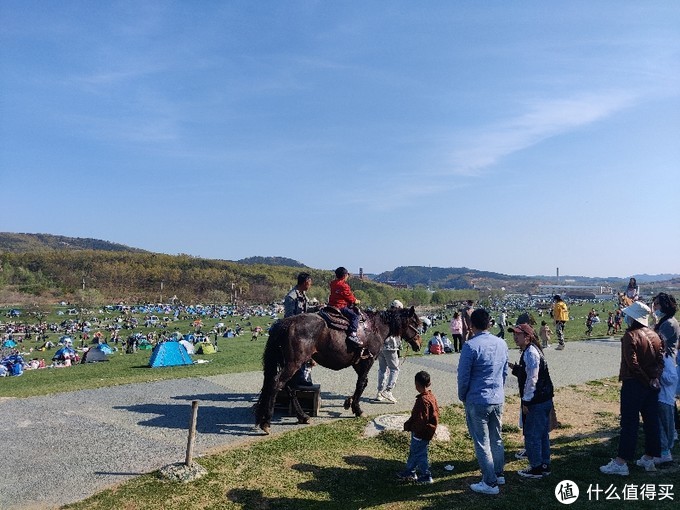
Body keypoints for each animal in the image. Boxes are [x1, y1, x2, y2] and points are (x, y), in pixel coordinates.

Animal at [256, 306, 420, 434]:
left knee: (289, 387)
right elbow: (361, 383)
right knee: (277, 383)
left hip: (291, 363)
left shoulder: (358, 362)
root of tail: (285, 323)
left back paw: (302, 416)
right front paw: (357, 408)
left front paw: (349, 402)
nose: (418, 343)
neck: (375, 328)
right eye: (415, 323)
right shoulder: (368, 360)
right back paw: (266, 422)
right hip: (294, 363)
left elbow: (362, 383)